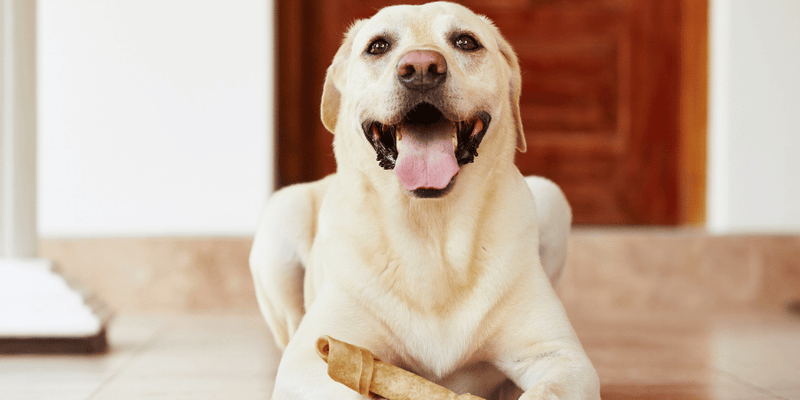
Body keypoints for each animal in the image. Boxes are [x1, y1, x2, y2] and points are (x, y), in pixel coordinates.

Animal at [250, 2, 600, 396]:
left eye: (466, 41)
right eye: (378, 46)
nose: (420, 69)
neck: (432, 231)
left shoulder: (561, 357)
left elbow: (548, 388)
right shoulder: (310, 360)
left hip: (551, 197)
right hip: (282, 215)